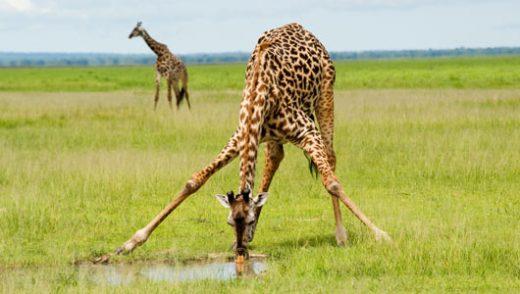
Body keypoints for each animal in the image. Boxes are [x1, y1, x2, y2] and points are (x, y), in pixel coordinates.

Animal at [105, 22, 390, 262]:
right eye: (230, 222)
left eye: (250, 220)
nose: (241, 250)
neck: (260, 95)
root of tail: (302, 28)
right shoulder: (240, 136)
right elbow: (194, 181)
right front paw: (129, 243)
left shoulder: (307, 132)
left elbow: (332, 182)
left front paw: (381, 235)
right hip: (274, 137)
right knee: (274, 158)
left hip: (325, 97)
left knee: (330, 158)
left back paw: (340, 234)